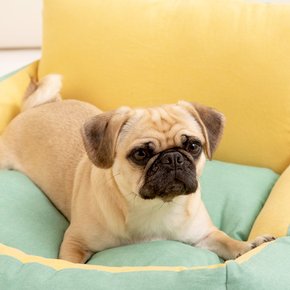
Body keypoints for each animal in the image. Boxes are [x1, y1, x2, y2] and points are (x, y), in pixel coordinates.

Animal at [0, 76, 274, 264]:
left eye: (193, 146)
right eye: (141, 154)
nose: (173, 158)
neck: (154, 208)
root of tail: (35, 107)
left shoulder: (204, 235)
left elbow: (227, 241)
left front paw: (248, 246)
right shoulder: (75, 242)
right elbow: (71, 265)